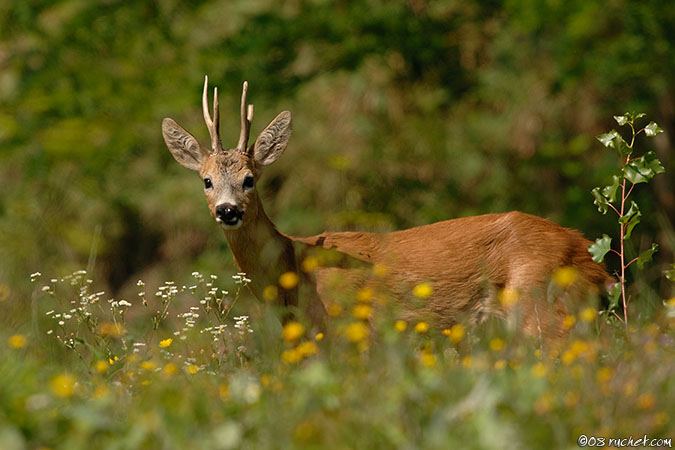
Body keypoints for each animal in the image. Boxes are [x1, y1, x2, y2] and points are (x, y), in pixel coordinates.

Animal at [161, 76, 612, 339]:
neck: (292, 267)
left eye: (250, 179)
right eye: (206, 181)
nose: (227, 210)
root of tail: (590, 256)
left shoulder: (351, 329)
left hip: (541, 303)